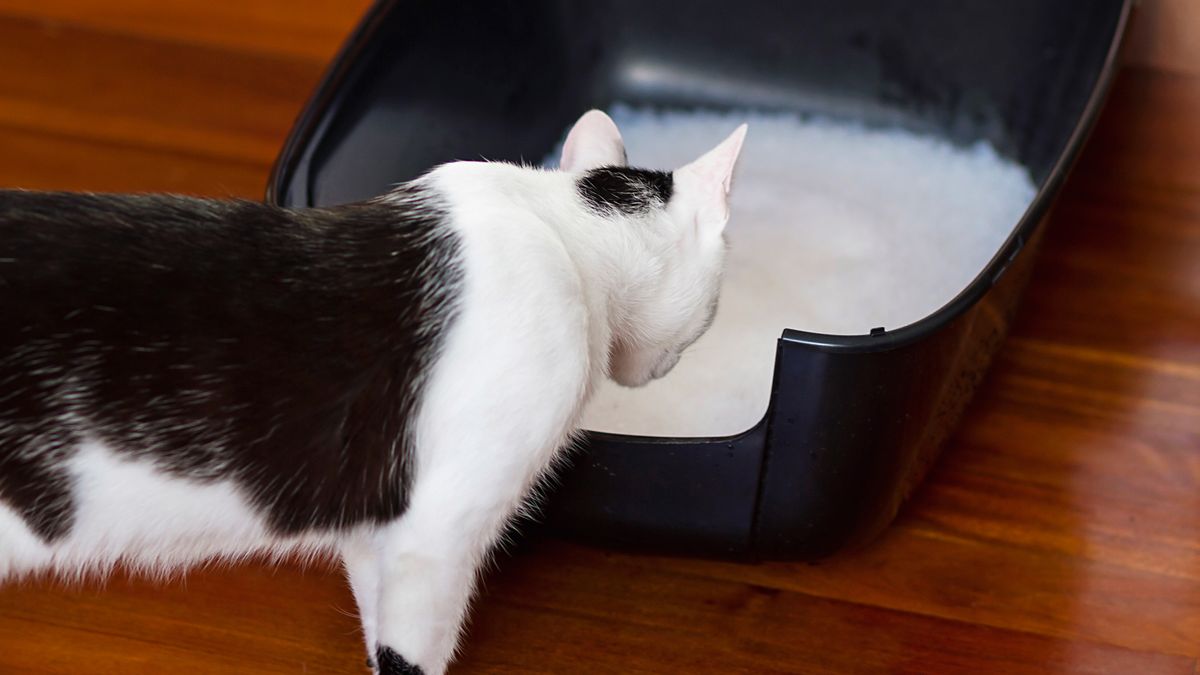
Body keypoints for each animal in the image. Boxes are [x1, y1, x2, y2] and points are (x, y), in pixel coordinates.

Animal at [0, 111, 744, 672]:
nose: (665, 366)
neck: (558, 226)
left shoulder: (376, 523)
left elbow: (376, 615)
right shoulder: (439, 530)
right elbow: (413, 651)